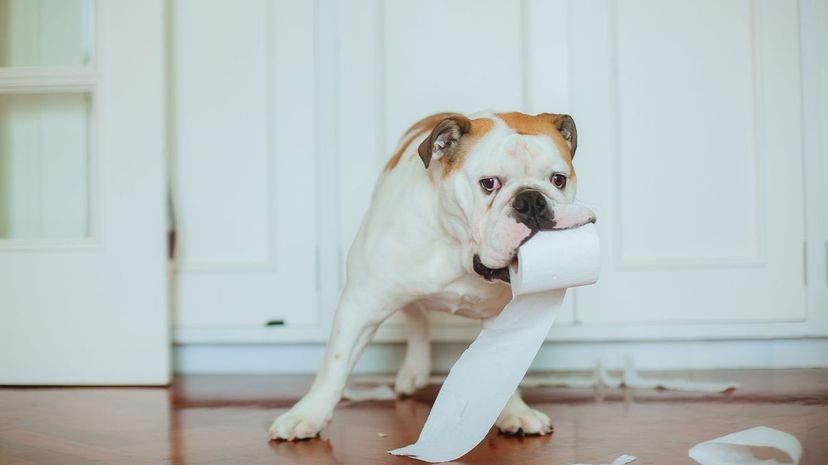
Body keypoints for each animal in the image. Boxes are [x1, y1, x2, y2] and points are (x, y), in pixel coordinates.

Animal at [270, 110, 596, 440]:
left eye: (558, 180)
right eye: (489, 183)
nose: (531, 201)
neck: (460, 250)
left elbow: (502, 365)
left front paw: (514, 411)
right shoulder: (361, 304)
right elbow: (335, 364)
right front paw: (308, 414)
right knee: (415, 313)